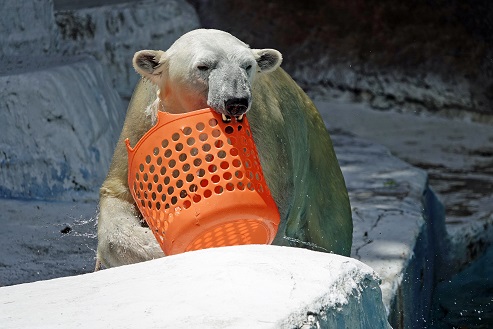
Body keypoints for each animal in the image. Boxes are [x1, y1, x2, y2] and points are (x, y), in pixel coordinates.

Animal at [95, 28, 350, 270]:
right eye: (203, 66)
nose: (236, 101)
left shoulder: (261, 133)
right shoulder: (140, 127)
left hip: (319, 180)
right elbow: (119, 193)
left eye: (247, 65)